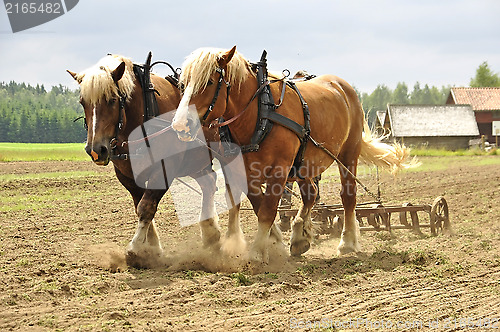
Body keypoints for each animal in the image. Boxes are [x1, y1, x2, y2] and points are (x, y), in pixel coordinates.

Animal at [67, 53, 224, 268]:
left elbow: (146, 207)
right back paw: (211, 235)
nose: (96, 150)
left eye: (112, 100)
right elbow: (139, 205)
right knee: (209, 183)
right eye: (83, 102)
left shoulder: (164, 169)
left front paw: (135, 250)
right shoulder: (128, 176)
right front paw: (152, 248)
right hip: (196, 161)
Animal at [172, 46, 414, 264]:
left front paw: (257, 252)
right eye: (183, 84)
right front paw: (272, 244)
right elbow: (256, 205)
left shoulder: (279, 169)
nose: (180, 125)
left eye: (209, 82)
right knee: (311, 194)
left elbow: (267, 210)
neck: (260, 113)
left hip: (347, 154)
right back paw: (299, 238)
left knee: (348, 197)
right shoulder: (241, 169)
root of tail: (343, 86)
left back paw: (347, 242)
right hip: (304, 164)